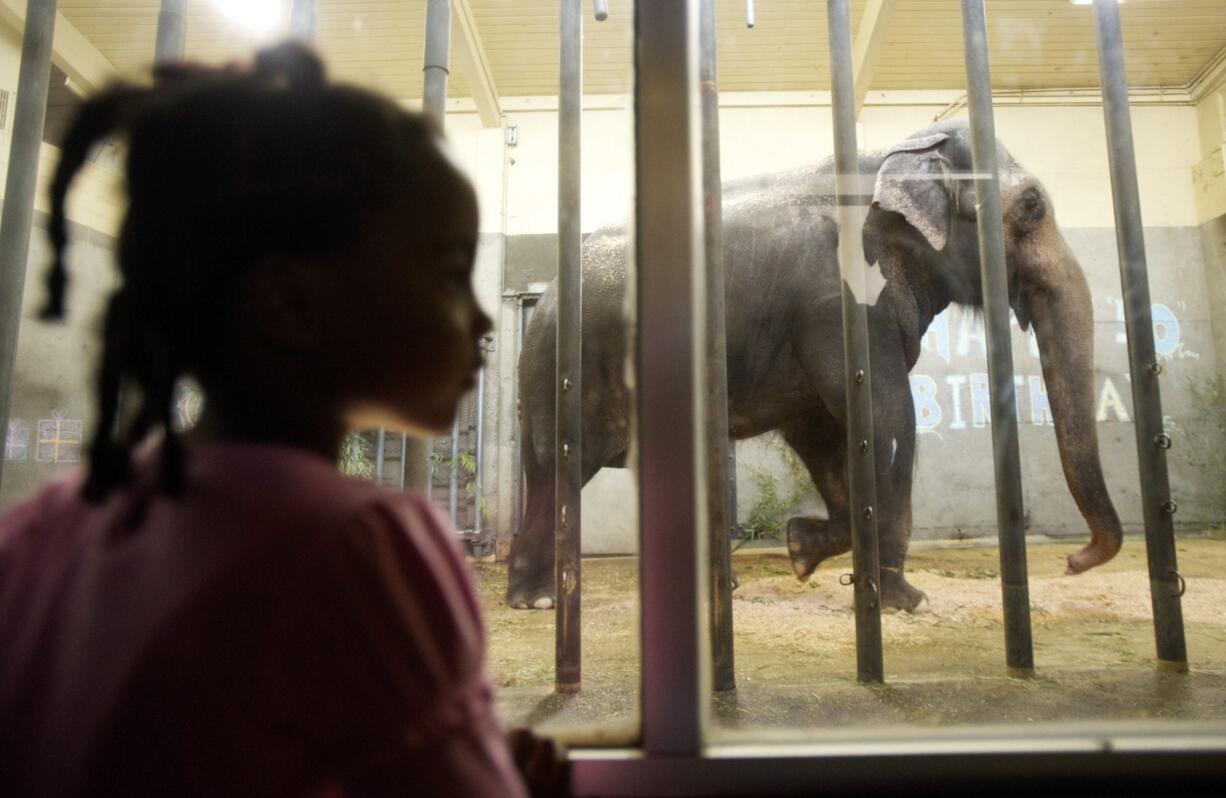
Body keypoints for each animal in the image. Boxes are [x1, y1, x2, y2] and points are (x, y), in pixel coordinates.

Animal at [505, 121, 1123, 615]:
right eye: (1032, 206)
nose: (1073, 561)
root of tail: (545, 295)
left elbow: (824, 434)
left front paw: (802, 552)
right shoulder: (840, 299)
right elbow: (889, 417)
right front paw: (906, 603)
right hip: (567, 366)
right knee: (559, 469)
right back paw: (538, 600)